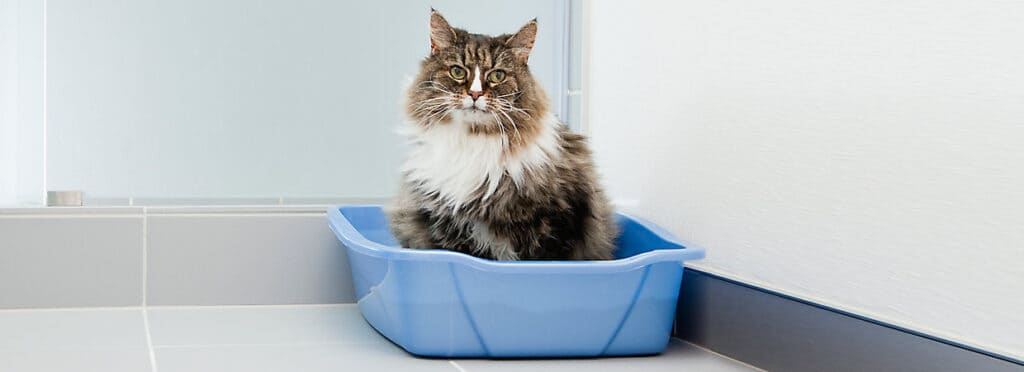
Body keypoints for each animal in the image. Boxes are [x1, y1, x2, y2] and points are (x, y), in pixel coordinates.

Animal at [387, 10, 614, 261]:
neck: (473, 142)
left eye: (497, 75)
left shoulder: (557, 225)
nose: (475, 94)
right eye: (458, 71)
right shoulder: (447, 226)